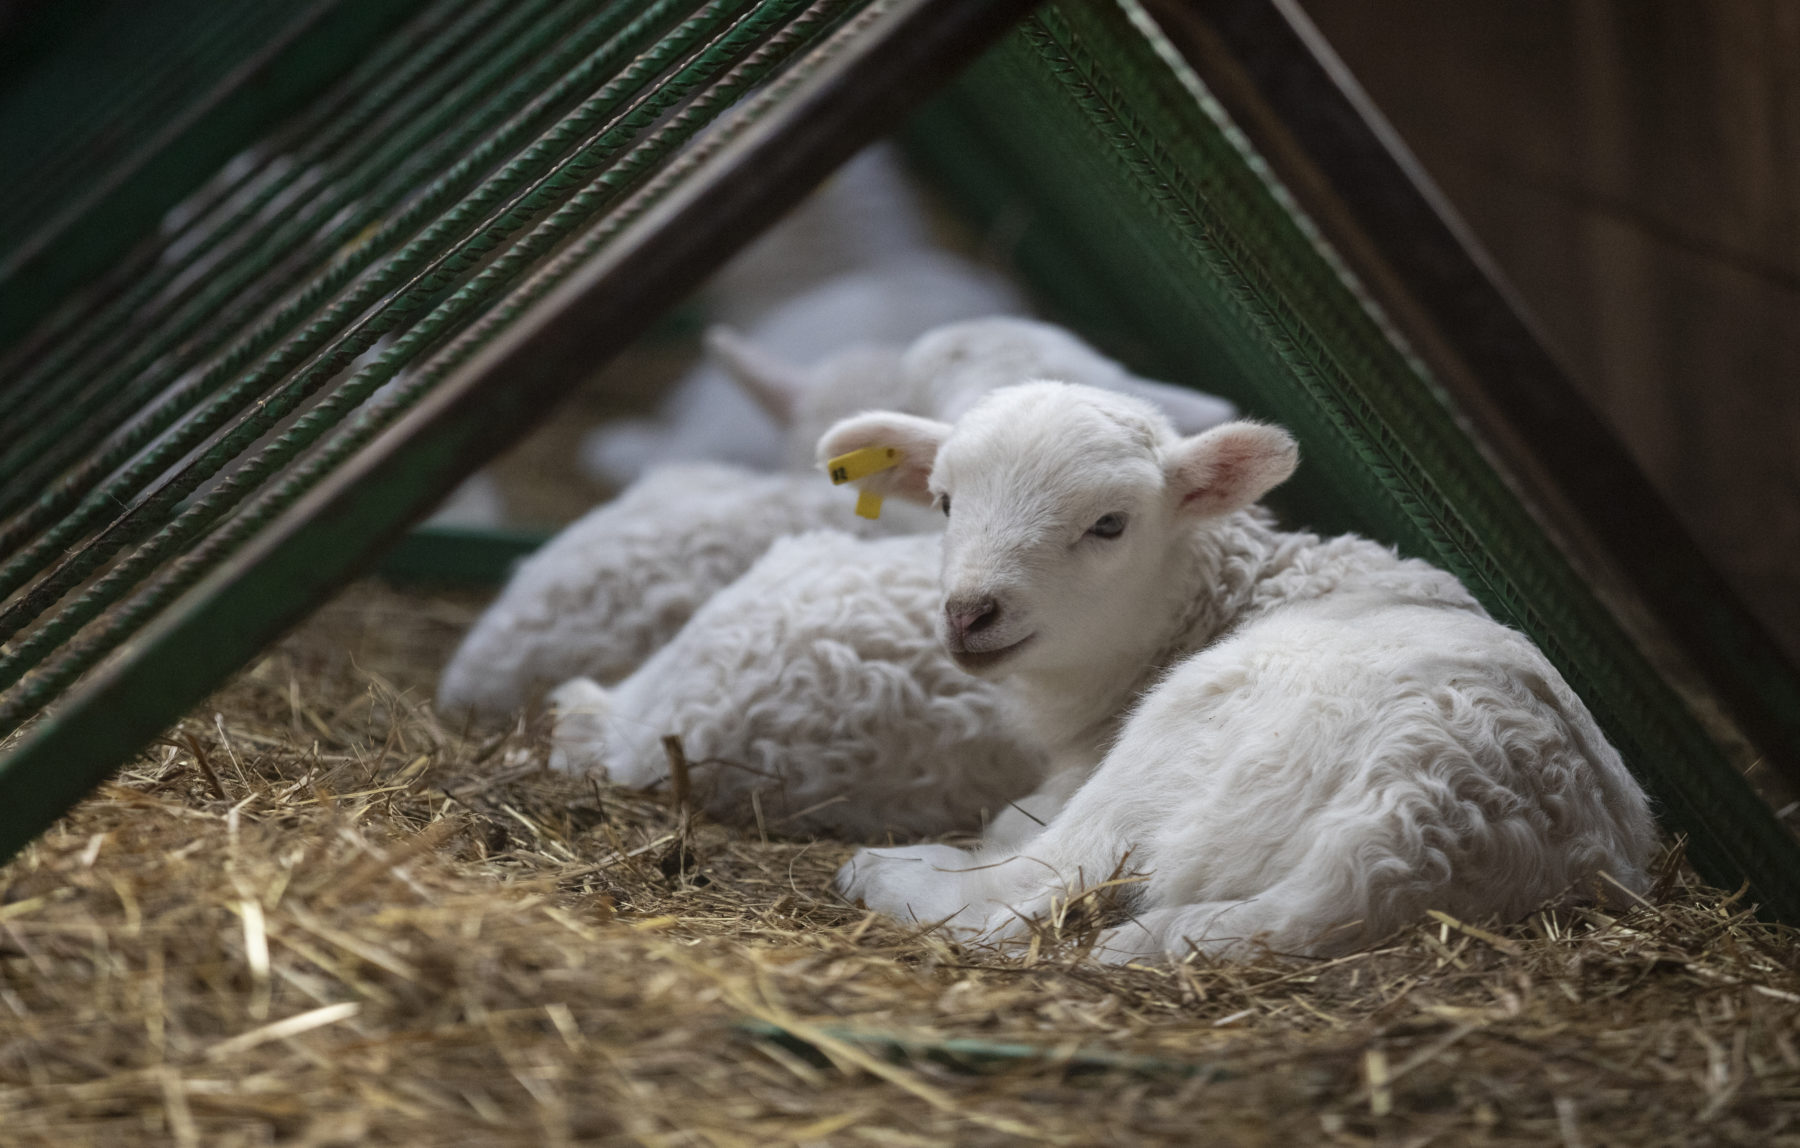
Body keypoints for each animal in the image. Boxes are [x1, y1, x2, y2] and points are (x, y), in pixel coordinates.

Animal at [817, 385, 1656, 964]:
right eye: (943, 502)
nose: (969, 612)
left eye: (1110, 524)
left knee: (1012, 898)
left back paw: (888, 872)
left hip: (1189, 738)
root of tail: (1411, 836)